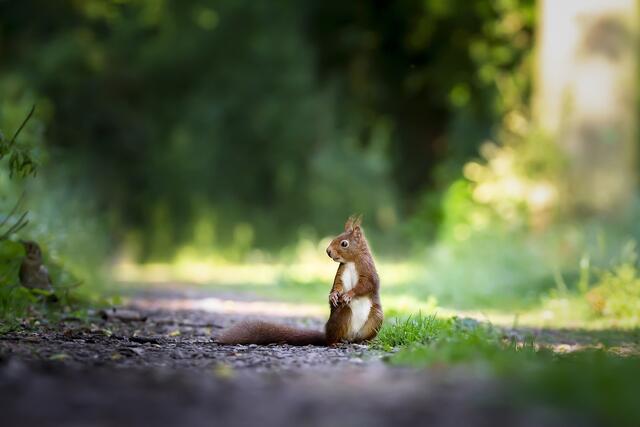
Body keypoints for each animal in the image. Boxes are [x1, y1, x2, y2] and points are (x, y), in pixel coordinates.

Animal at [217, 215, 383, 346]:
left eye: (344, 243)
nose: (328, 251)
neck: (351, 261)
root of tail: (349, 337)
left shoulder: (368, 270)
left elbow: (367, 285)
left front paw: (349, 294)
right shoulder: (341, 272)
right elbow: (337, 285)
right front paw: (333, 296)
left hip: (376, 318)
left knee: (361, 336)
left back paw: (364, 341)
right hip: (342, 316)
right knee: (332, 337)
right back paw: (335, 342)